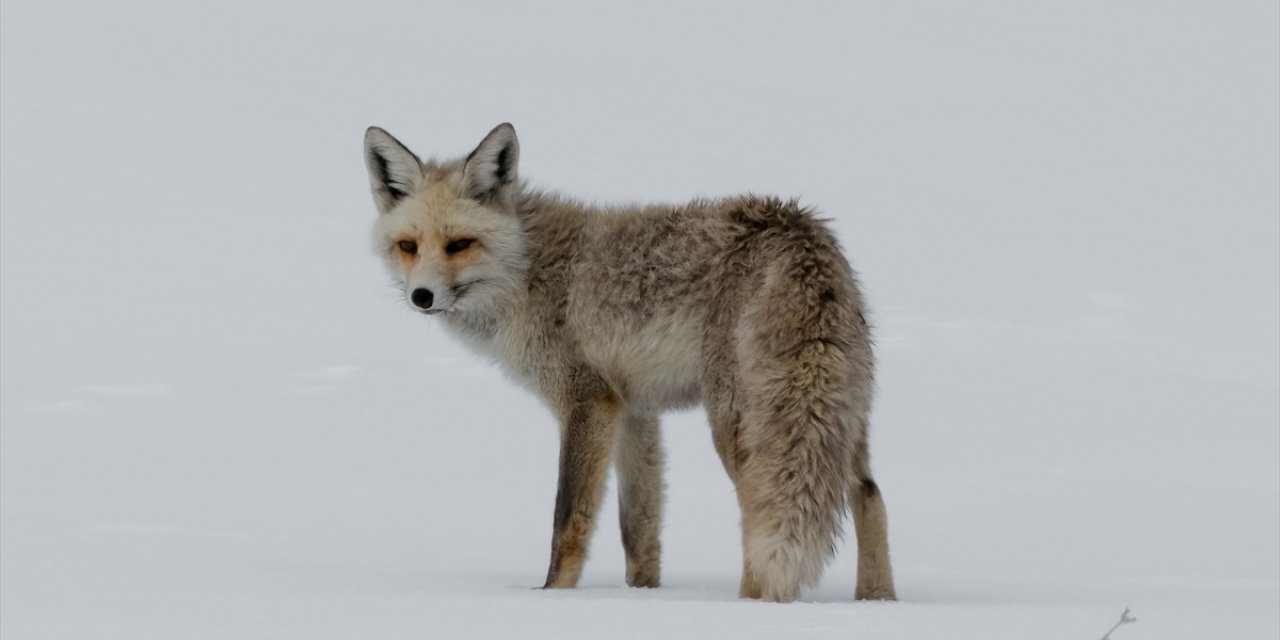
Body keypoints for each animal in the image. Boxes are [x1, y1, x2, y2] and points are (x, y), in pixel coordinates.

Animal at [363, 122, 901, 601]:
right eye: (408, 246)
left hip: (736, 423)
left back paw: (754, 605)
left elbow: (568, 517)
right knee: (870, 495)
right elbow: (638, 528)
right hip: (837, 417)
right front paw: (642, 598)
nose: (422, 297)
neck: (531, 275)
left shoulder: (587, 401)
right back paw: (878, 601)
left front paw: (551, 595)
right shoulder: (635, 409)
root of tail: (800, 229)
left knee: (761, 512)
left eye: (459, 244)